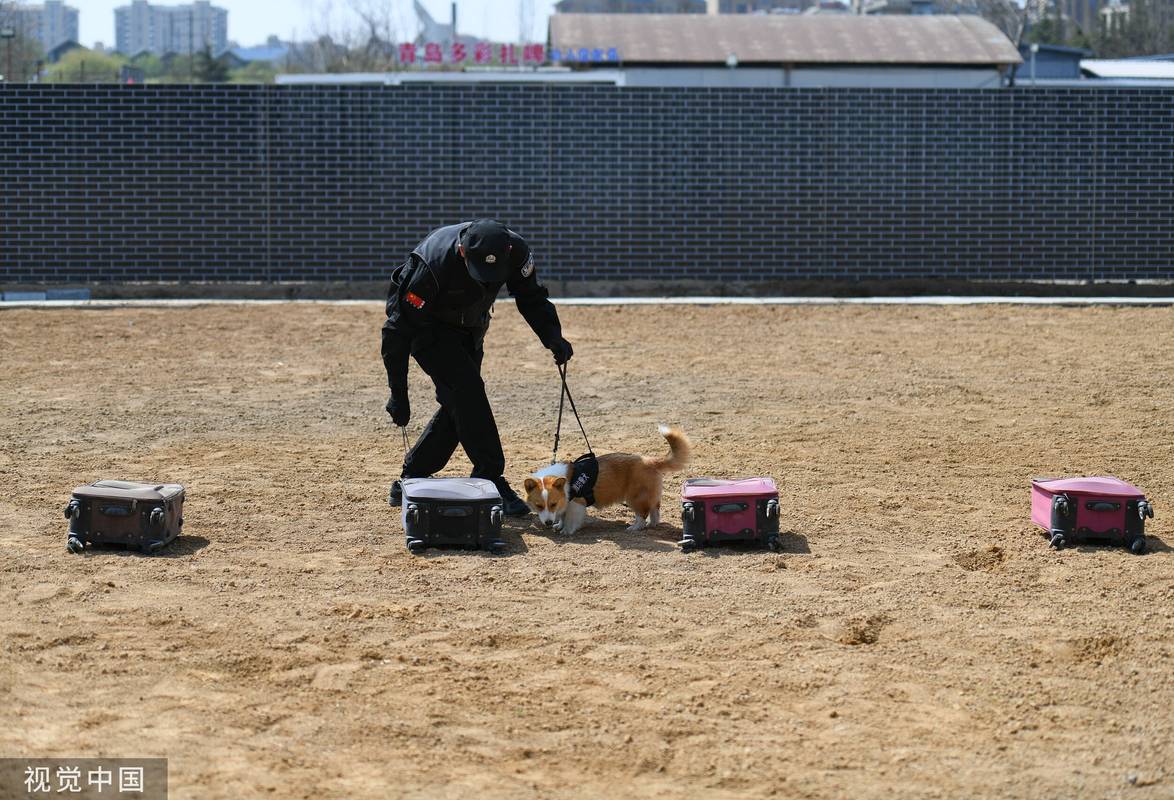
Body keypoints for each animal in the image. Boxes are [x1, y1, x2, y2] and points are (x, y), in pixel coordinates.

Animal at [521, 427, 685, 533]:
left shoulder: (575, 504)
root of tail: (650, 461)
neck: (567, 483)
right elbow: (561, 516)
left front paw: (566, 531)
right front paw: (558, 526)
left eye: (552, 504)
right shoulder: (565, 504)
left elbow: (570, 520)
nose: (548, 523)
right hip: (649, 496)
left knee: (642, 514)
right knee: (655, 510)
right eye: (539, 506)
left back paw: (634, 528)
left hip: (635, 498)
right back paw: (652, 524)